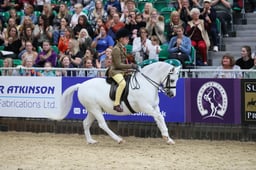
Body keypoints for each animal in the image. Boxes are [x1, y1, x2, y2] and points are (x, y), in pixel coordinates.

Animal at [51, 62, 180, 145]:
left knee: (86, 123)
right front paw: (166, 136)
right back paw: (118, 139)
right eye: (172, 80)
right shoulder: (146, 107)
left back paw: (91, 141)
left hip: (92, 110)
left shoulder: (154, 107)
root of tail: (81, 85)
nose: (172, 95)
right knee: (102, 125)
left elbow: (160, 118)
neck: (145, 83)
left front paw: (168, 138)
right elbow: (159, 117)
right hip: (95, 109)